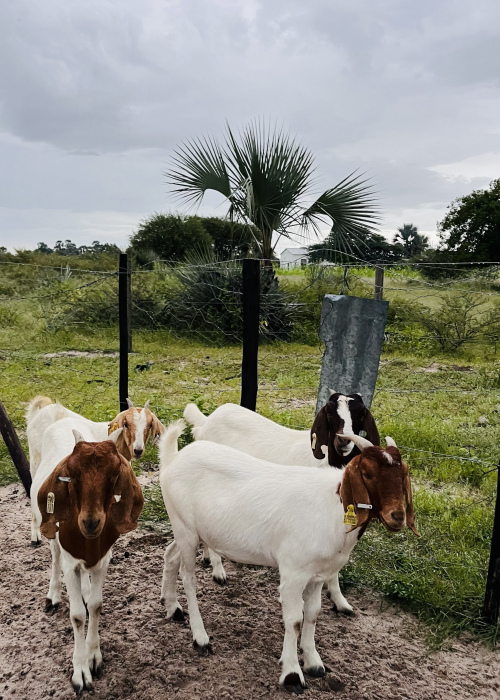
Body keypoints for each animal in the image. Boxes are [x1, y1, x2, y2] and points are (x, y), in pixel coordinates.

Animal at [31, 418, 144, 693]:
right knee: (54, 555)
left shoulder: (103, 559)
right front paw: (80, 671)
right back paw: (53, 594)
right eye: (71, 477)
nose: (91, 523)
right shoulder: (70, 561)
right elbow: (77, 615)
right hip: (51, 528)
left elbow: (95, 605)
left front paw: (94, 656)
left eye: (115, 475)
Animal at [158, 423, 418, 693]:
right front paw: (292, 674)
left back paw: (172, 607)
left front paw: (314, 663)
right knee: (188, 578)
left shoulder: (317, 575)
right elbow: (295, 620)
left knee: (170, 555)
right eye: (367, 474)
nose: (397, 516)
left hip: (186, 531)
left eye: (403, 475)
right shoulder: (294, 574)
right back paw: (200, 638)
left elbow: (313, 613)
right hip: (186, 528)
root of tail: (173, 458)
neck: (332, 508)